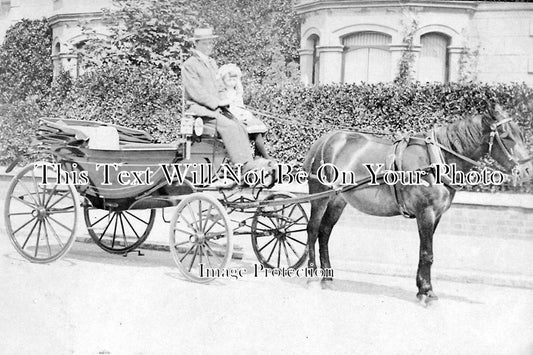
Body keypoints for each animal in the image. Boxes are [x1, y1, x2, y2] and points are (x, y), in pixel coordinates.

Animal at [304, 104, 532, 302]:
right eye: (506, 136)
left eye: (521, 134)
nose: (527, 171)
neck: (438, 159)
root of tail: (327, 138)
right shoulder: (426, 212)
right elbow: (427, 253)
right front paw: (428, 293)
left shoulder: (436, 215)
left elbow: (424, 251)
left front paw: (421, 288)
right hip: (320, 193)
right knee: (313, 229)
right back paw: (313, 275)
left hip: (338, 199)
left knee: (325, 231)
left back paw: (327, 278)